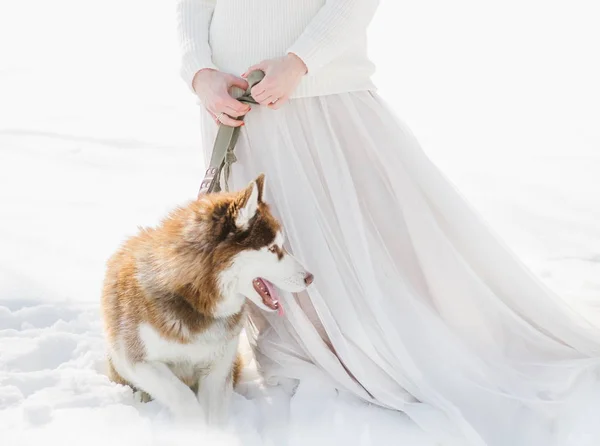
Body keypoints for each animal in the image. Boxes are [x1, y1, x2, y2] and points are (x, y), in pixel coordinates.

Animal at [100, 174, 312, 426]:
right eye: (272, 248)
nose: (310, 277)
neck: (196, 301)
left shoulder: (218, 368)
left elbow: (214, 414)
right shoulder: (136, 359)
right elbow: (182, 397)